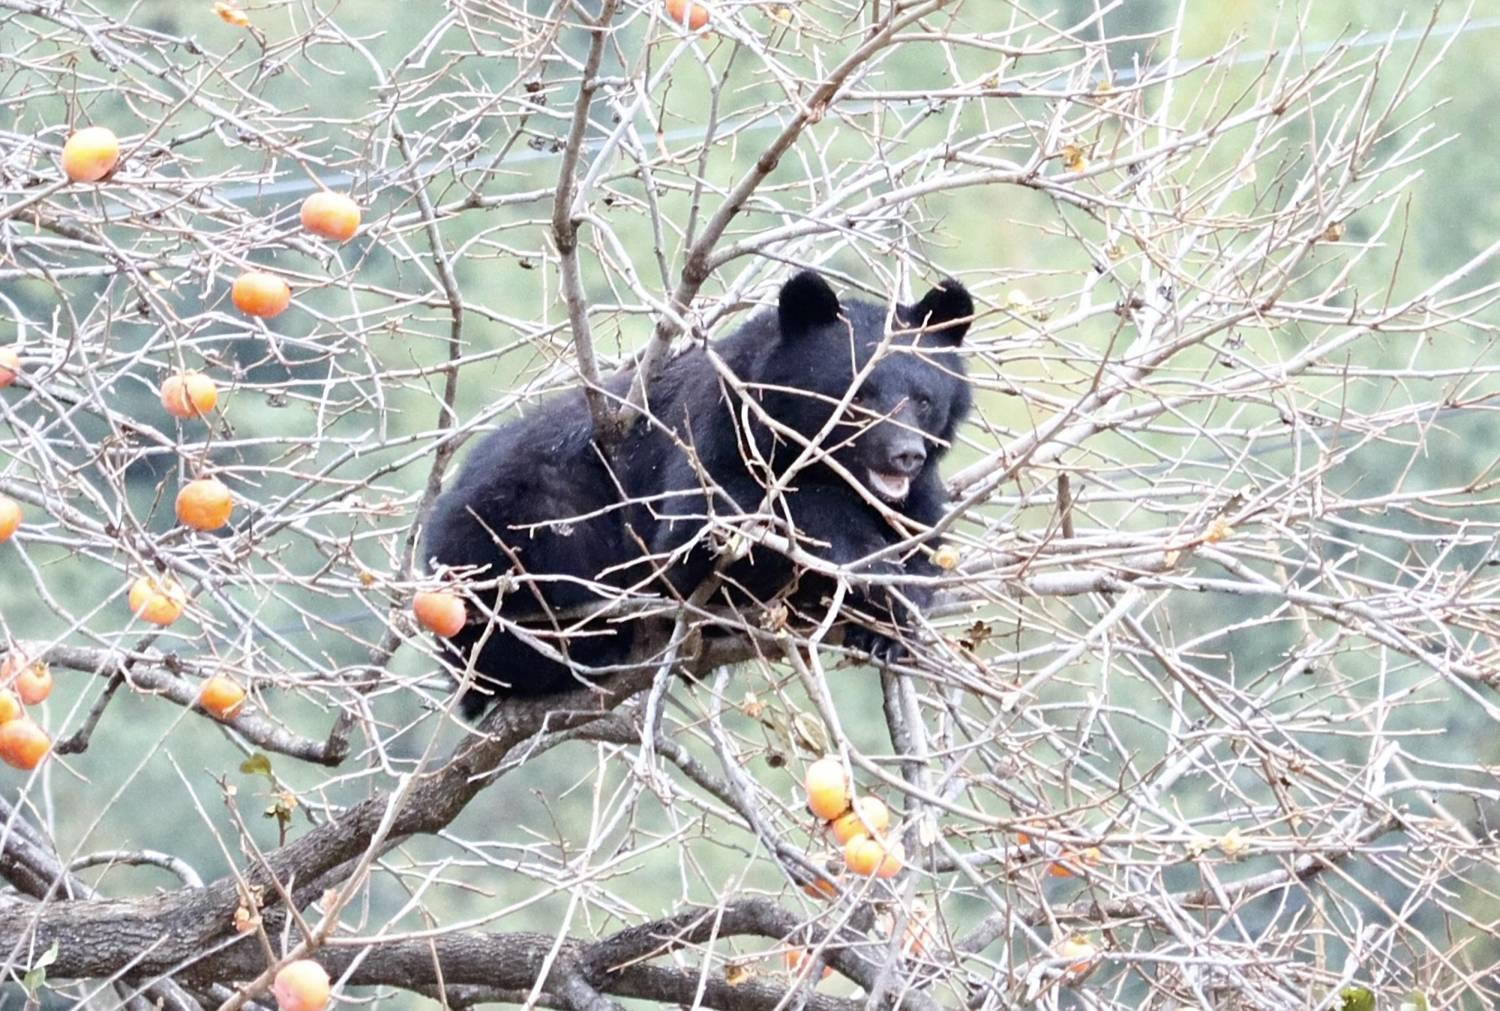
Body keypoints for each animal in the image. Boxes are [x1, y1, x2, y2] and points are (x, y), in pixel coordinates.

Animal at [423, 269, 973, 718]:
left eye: (924, 400)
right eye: (858, 397)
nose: (905, 455)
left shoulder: (917, 498)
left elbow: (926, 542)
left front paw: (888, 621)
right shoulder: (714, 429)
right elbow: (700, 527)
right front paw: (871, 565)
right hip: (517, 524)